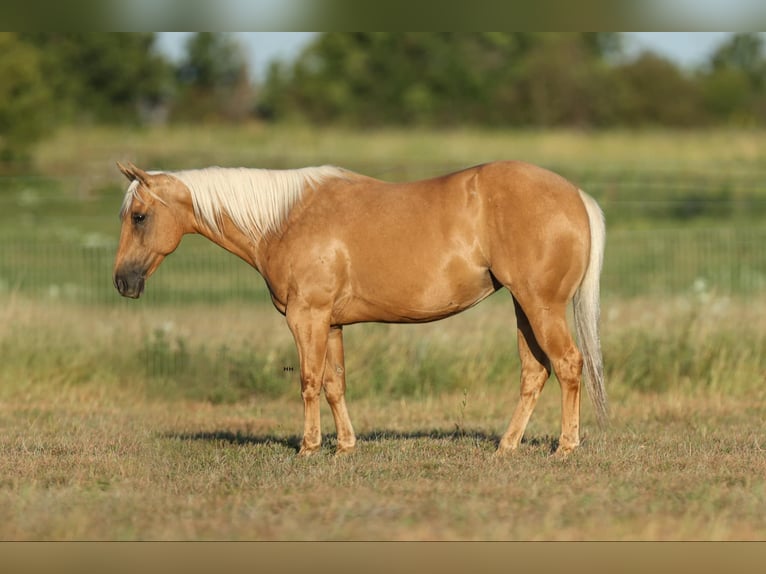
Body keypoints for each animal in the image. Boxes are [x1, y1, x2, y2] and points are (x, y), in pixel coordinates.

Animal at [114, 160, 608, 456]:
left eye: (139, 216)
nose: (123, 281)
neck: (283, 220)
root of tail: (575, 195)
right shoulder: (330, 323)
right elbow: (335, 383)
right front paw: (345, 446)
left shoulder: (307, 317)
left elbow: (310, 382)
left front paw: (309, 447)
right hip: (525, 308)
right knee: (535, 372)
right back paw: (506, 446)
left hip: (541, 307)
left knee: (568, 364)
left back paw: (566, 446)